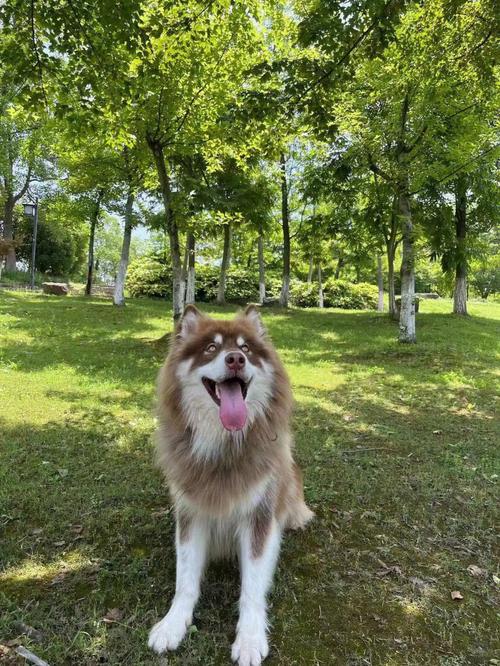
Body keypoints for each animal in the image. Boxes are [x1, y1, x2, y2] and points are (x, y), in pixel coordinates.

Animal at [147, 304, 312, 660]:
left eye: (246, 348)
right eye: (211, 347)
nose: (236, 359)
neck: (223, 446)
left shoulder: (260, 516)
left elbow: (252, 586)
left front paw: (249, 638)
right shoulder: (190, 512)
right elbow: (185, 578)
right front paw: (173, 624)